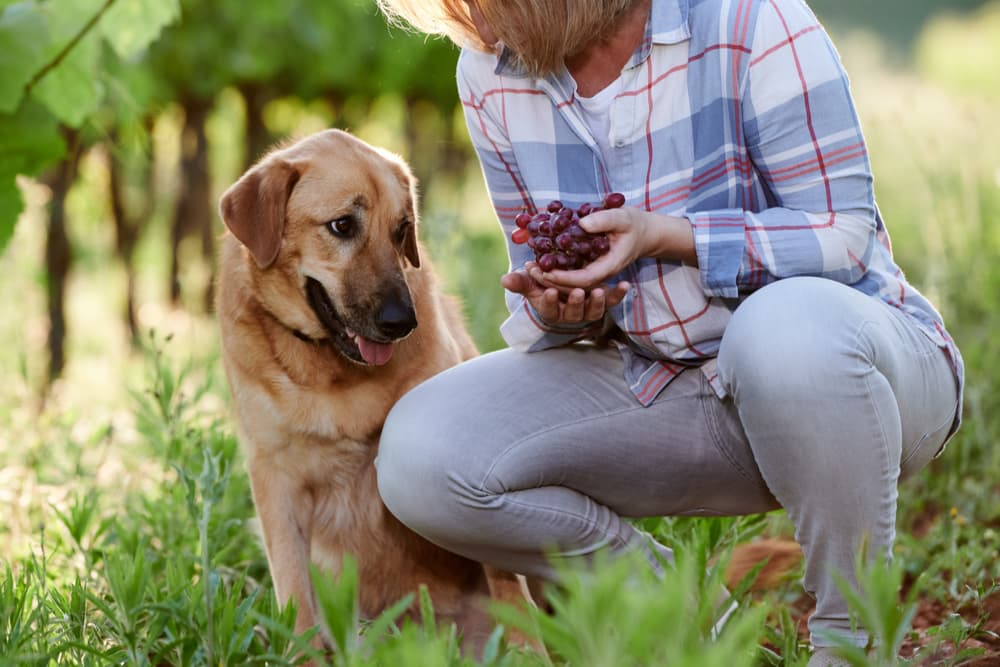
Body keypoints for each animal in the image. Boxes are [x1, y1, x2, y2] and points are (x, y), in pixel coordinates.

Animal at [216, 128, 536, 656]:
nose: (402, 323)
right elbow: (295, 594)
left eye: (401, 229)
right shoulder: (274, 479)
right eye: (342, 225)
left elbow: (507, 579)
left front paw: (528, 650)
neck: (333, 375)